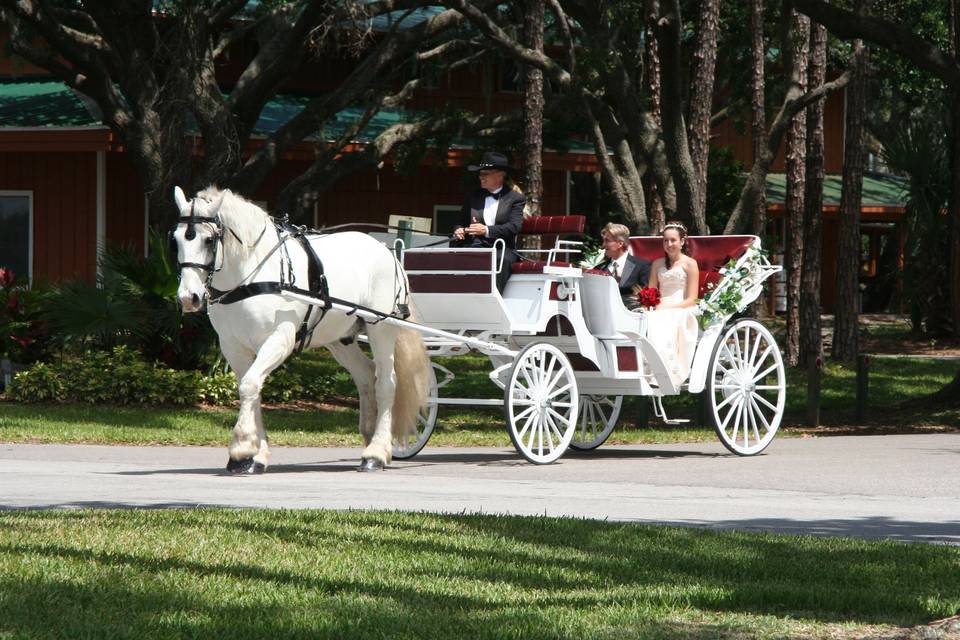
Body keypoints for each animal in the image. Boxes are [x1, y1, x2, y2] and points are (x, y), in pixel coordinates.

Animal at [171, 182, 430, 472]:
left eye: (208, 240)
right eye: (175, 239)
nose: (188, 298)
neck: (250, 274)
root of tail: (387, 252)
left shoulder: (279, 339)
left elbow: (249, 385)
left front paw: (241, 449)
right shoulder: (233, 347)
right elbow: (252, 388)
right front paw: (256, 456)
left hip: (381, 328)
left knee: (386, 382)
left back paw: (376, 453)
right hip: (338, 338)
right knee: (366, 375)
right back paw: (369, 436)